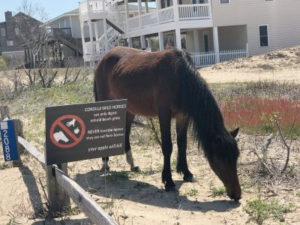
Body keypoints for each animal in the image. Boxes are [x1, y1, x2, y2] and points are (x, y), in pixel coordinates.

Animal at [94, 46, 241, 201]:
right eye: (220, 159)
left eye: (236, 157)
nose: (237, 194)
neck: (179, 77)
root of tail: (104, 58)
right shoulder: (164, 114)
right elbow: (167, 146)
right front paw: (168, 181)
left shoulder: (182, 117)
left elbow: (182, 144)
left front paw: (186, 173)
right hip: (104, 102)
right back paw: (105, 163)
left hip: (129, 108)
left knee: (126, 130)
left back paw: (132, 165)